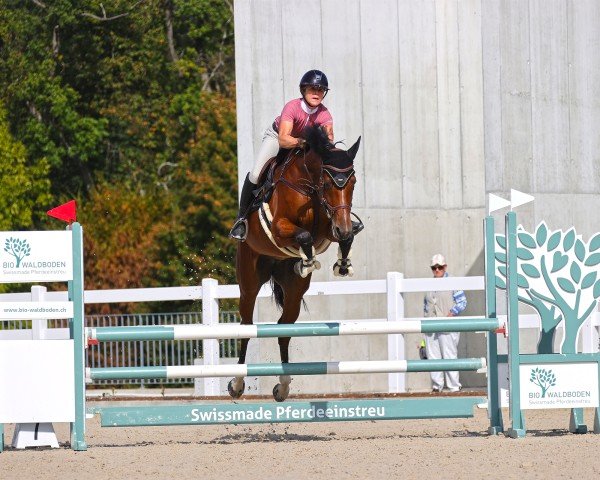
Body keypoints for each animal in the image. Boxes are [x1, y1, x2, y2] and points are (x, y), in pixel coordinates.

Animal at [230, 126, 360, 402]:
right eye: (328, 182)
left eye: (353, 182)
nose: (343, 227)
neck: (309, 187)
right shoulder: (280, 228)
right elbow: (303, 236)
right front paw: (308, 260)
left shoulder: (329, 228)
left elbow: (341, 237)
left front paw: (342, 263)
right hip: (248, 280)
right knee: (246, 326)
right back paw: (236, 383)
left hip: (293, 291)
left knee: (283, 328)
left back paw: (283, 386)